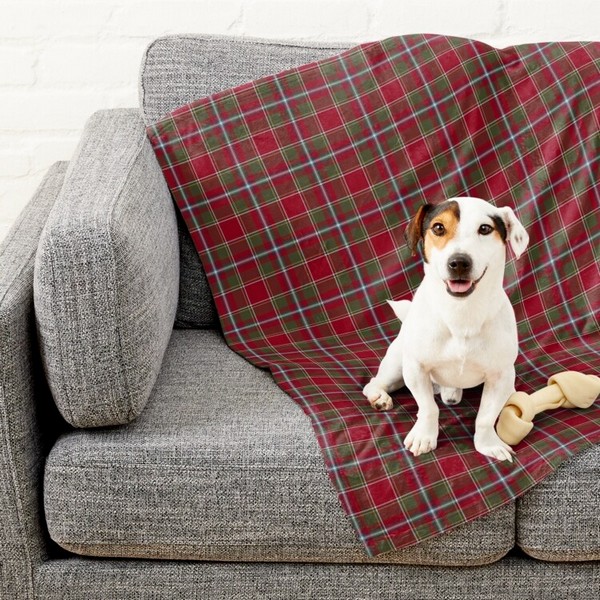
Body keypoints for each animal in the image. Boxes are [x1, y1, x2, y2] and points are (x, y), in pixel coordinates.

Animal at [364, 199, 528, 462]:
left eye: (485, 228)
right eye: (438, 228)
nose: (459, 262)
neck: (461, 314)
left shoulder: (501, 375)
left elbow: (485, 417)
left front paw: (489, 444)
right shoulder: (416, 368)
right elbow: (428, 408)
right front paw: (424, 437)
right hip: (396, 365)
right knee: (373, 382)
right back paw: (379, 397)